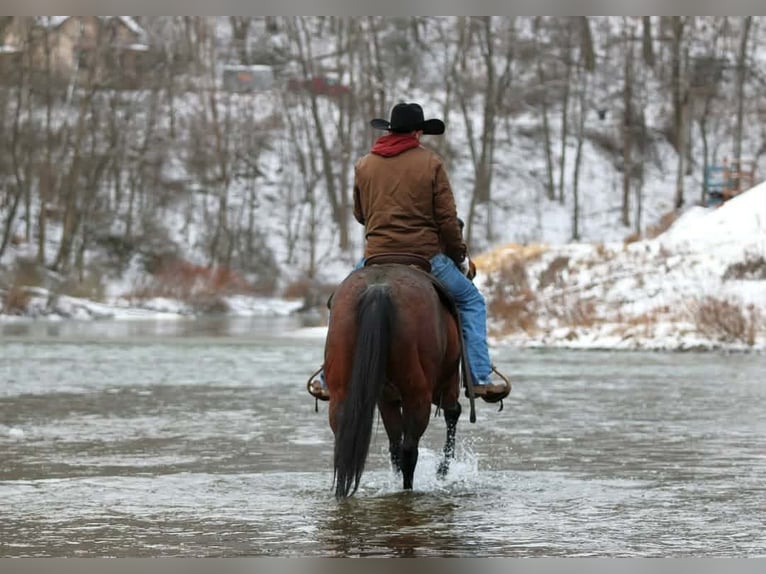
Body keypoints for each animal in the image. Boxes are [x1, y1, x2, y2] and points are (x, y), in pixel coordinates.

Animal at [323, 260, 477, 498]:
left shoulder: (386, 398)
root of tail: (378, 289)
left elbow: (393, 444)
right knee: (410, 450)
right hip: (418, 394)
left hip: (342, 392)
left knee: (346, 444)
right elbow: (453, 412)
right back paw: (408, 489)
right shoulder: (447, 381)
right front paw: (442, 471)